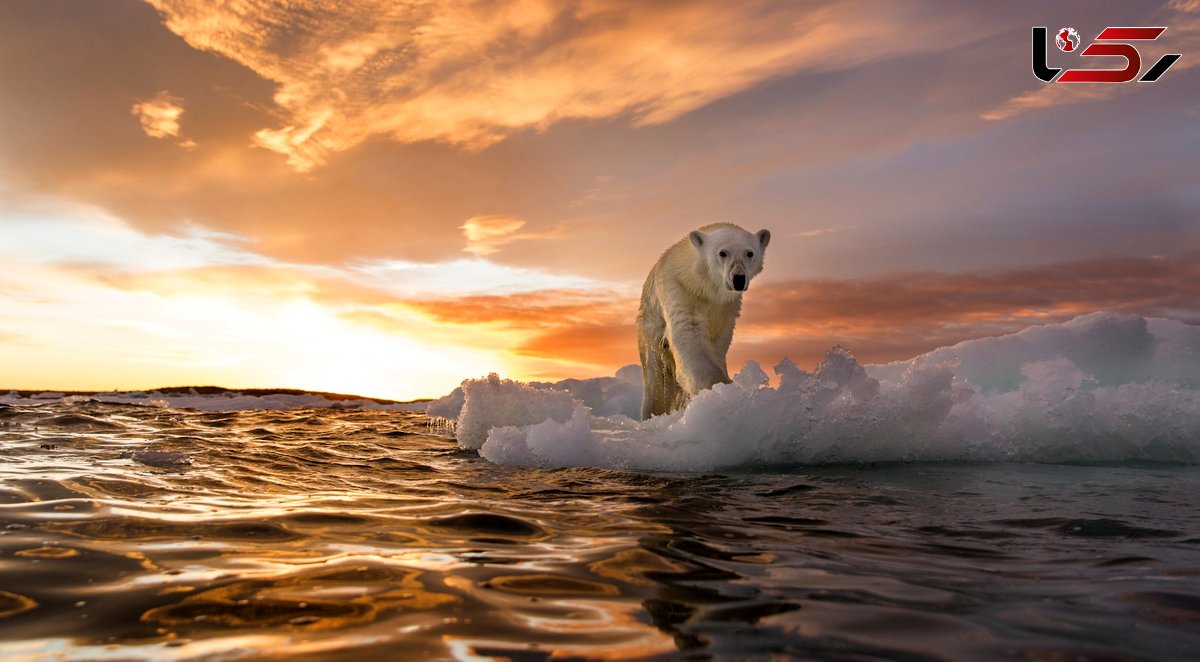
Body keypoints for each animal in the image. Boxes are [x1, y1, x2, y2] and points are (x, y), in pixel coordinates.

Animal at [638, 221, 768, 419]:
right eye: (722, 252)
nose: (738, 279)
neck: (704, 287)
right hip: (650, 336)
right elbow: (688, 333)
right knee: (657, 382)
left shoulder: (726, 308)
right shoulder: (680, 290)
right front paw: (719, 389)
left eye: (750, 253)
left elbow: (718, 341)